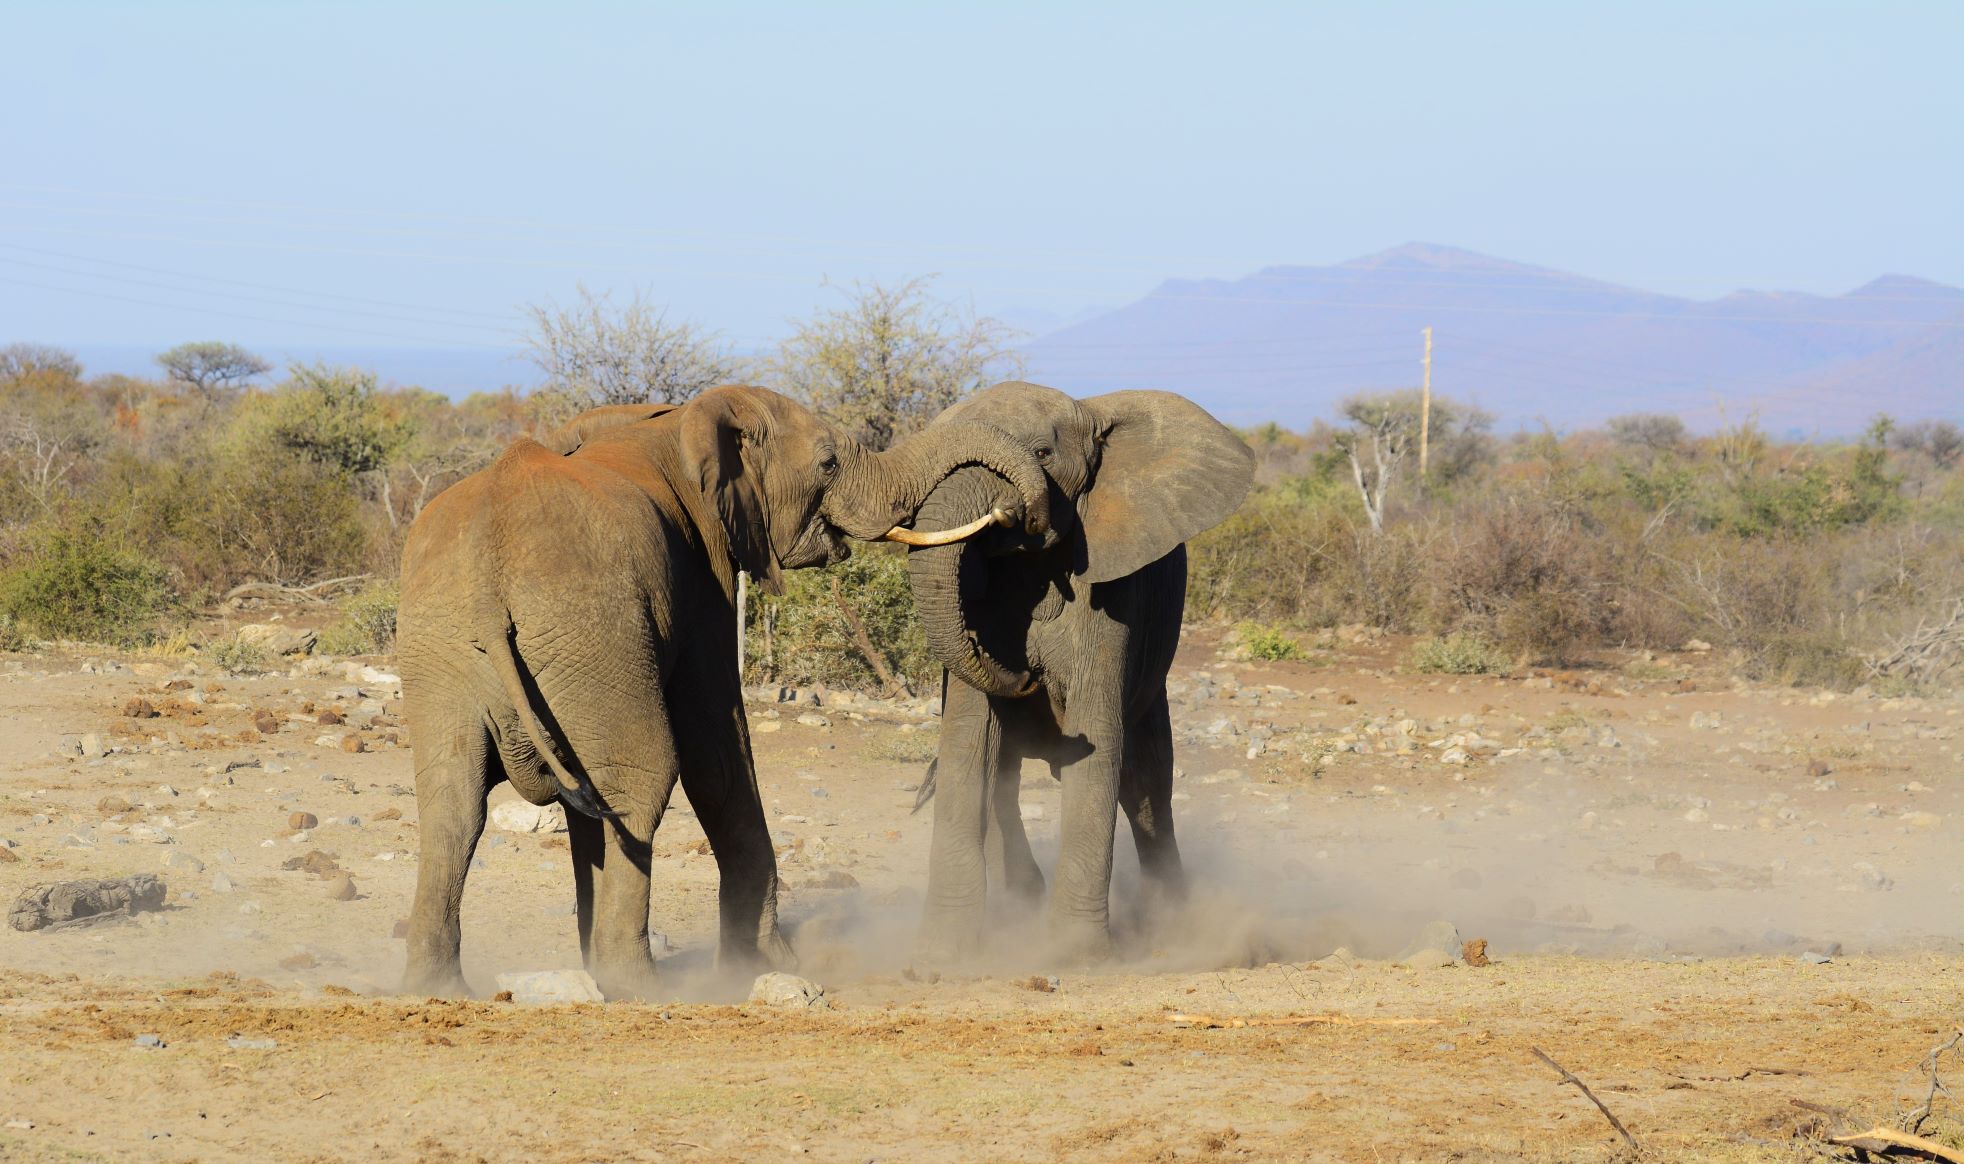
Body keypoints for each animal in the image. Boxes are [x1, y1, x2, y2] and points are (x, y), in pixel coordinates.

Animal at [396, 385, 1053, 999]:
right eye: (828, 464)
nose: (1020, 516)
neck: (675, 424)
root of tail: (490, 578)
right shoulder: (702, 573)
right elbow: (716, 748)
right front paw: (766, 966)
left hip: (443, 647)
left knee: (456, 801)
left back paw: (441, 986)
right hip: (589, 627)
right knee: (641, 778)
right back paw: (638, 985)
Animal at [905, 381, 1253, 961]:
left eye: (1044, 453)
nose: (1027, 679)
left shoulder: (1112, 597)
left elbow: (1098, 743)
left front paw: (1075, 953)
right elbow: (969, 740)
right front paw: (942, 954)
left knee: (1145, 786)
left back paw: (1172, 924)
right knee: (1005, 779)